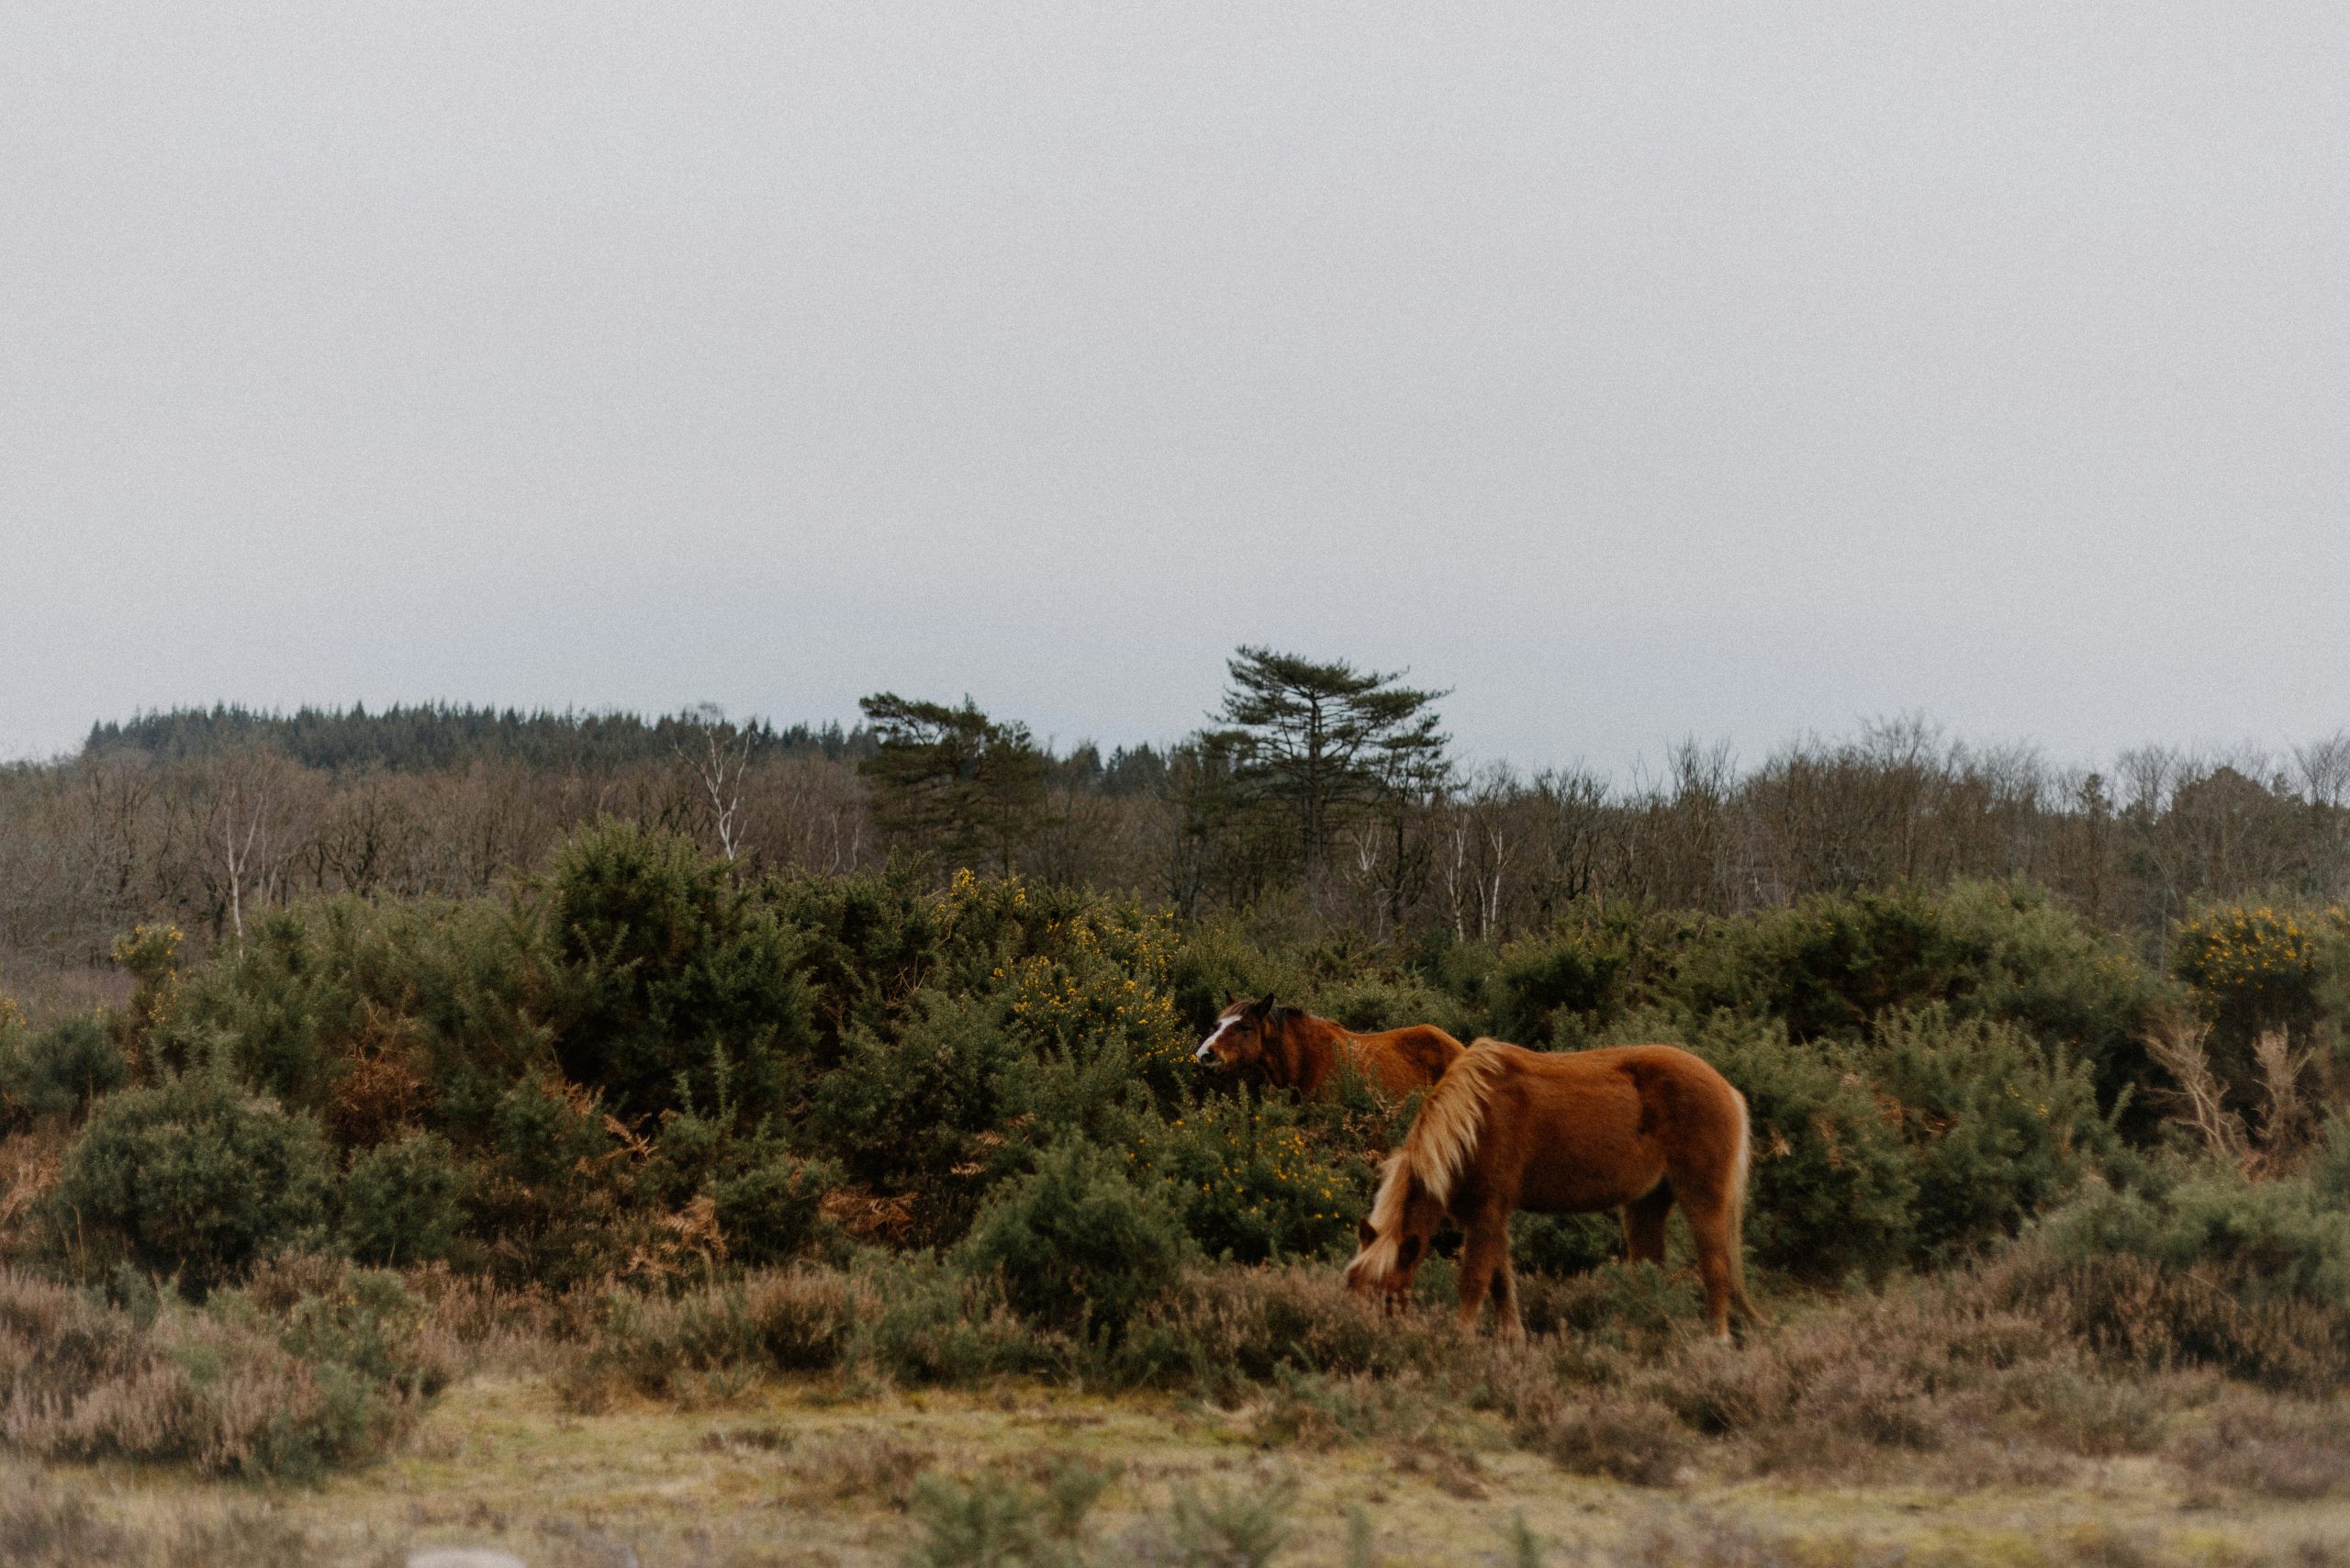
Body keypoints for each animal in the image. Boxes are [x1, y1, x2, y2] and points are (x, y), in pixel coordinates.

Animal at [1353, 1043, 1757, 1335]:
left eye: (1388, 1298)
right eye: (1353, 1288)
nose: (1363, 1337)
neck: (1475, 1122)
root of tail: (1728, 1089)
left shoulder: (1486, 1214)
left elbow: (1475, 1282)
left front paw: (1460, 1342)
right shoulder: (1489, 1219)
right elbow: (1501, 1282)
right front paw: (1512, 1342)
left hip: (1703, 1197)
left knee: (1716, 1268)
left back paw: (1715, 1341)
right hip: (1646, 1204)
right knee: (1648, 1273)